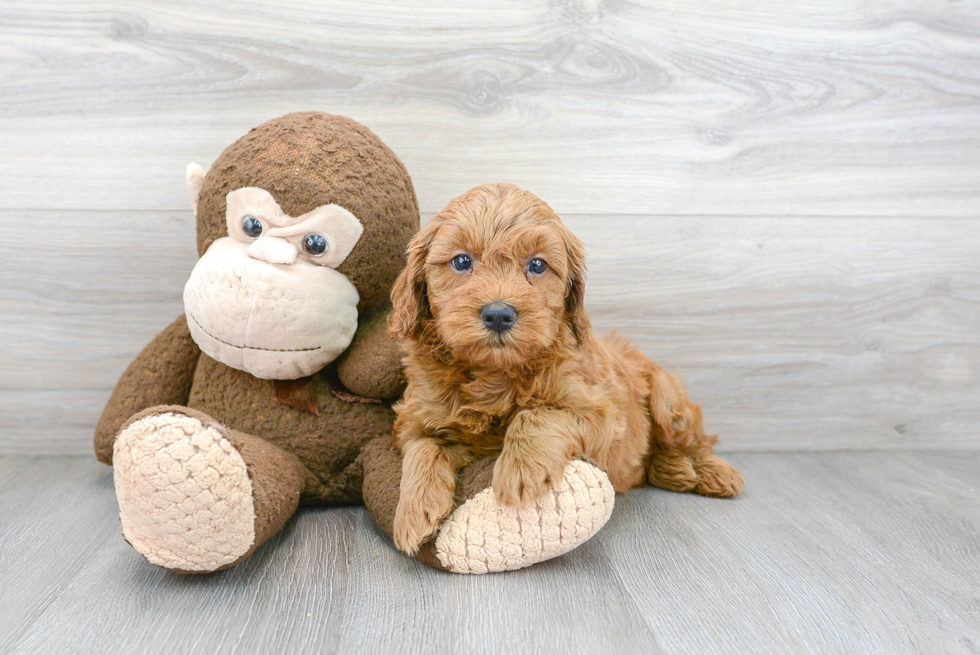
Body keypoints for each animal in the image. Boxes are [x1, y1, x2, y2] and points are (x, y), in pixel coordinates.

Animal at [388, 183, 744, 552]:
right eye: (461, 261)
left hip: (667, 400)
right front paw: (412, 512)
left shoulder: (601, 412)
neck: (494, 373)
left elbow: (537, 414)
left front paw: (521, 470)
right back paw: (674, 470)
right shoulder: (417, 417)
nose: (499, 314)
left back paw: (711, 473)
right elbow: (422, 447)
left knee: (694, 439)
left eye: (537, 265)